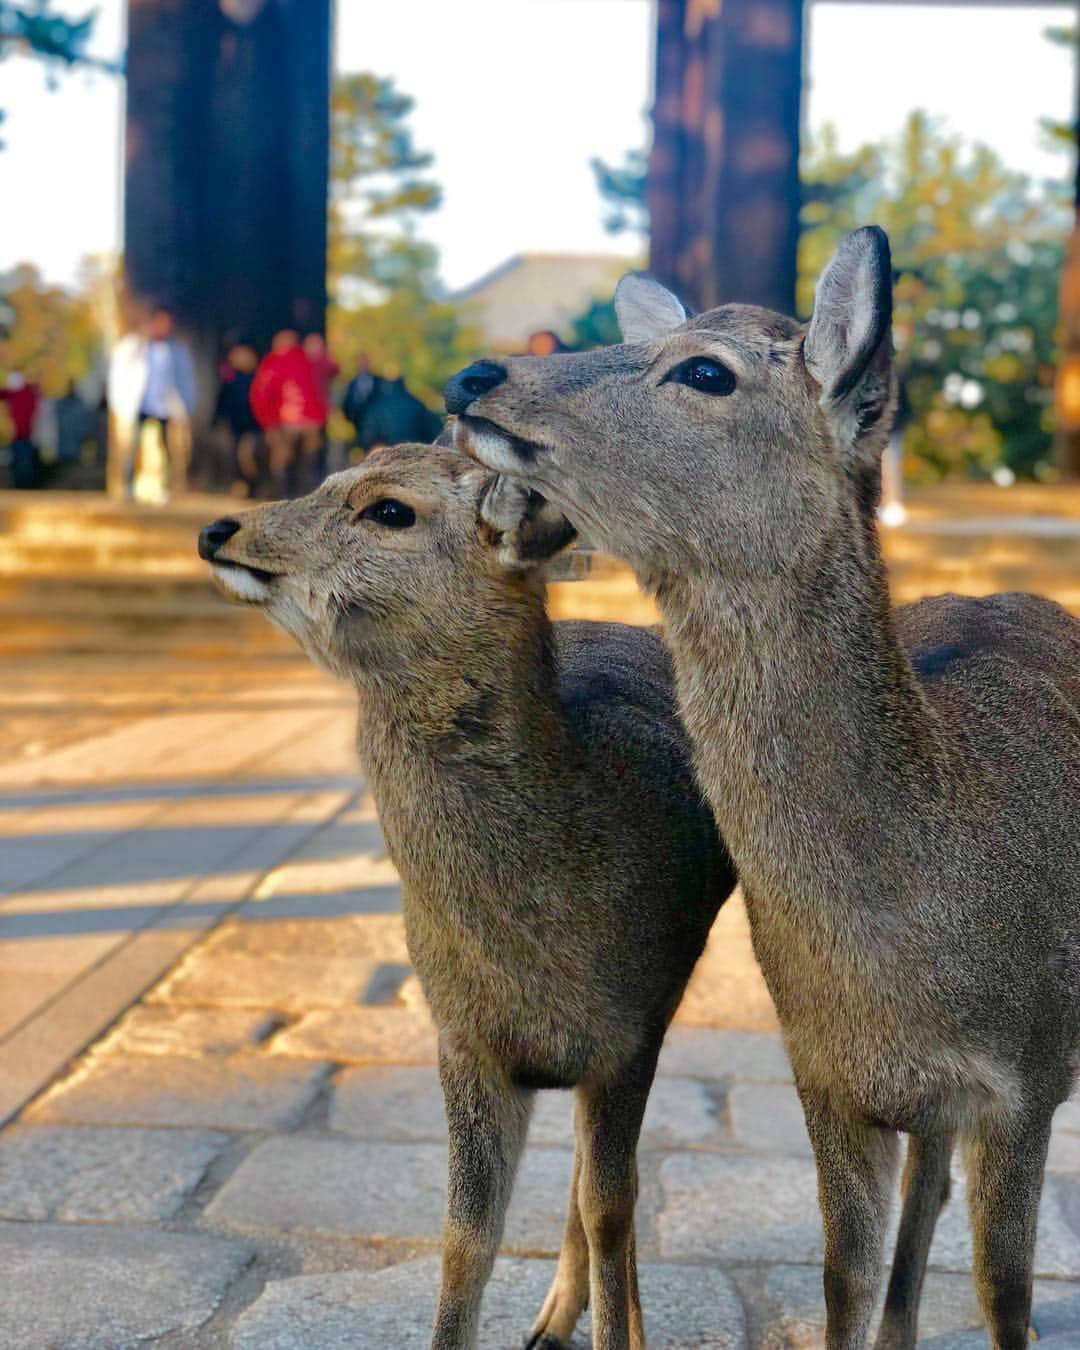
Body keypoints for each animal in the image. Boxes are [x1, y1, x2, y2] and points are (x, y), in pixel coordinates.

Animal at [195, 440, 745, 1339]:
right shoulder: (460, 1036)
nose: (218, 528)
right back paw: (552, 1320)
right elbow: (465, 1236)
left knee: (605, 1186)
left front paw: (620, 1334)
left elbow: (611, 1206)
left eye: (389, 508)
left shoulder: (631, 1030)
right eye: (327, 479)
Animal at [442, 224, 1080, 1350]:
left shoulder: (1031, 1075)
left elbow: (1006, 1294)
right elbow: (841, 1279)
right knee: (927, 1188)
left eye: (707, 372)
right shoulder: (824, 1076)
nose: (478, 375)